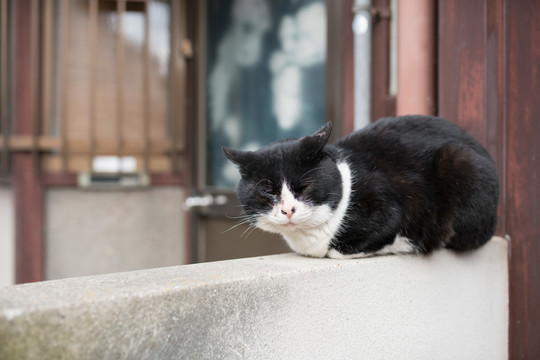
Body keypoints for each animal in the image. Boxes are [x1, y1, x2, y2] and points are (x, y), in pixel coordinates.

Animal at [223, 116, 498, 258]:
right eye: (267, 190)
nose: (288, 210)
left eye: (304, 186)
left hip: (459, 161)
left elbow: (346, 247)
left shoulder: (389, 207)